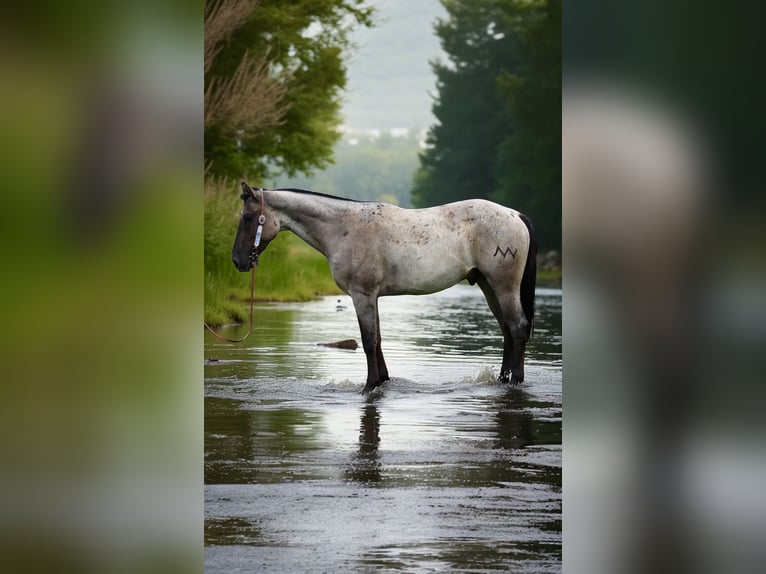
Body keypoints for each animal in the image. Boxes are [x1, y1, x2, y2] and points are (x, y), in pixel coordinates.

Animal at [231, 182, 537, 394]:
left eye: (247, 217)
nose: (237, 261)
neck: (343, 228)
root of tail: (515, 215)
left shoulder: (362, 295)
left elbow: (368, 341)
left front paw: (369, 386)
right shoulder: (372, 297)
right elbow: (377, 339)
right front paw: (382, 381)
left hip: (503, 287)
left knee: (518, 328)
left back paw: (516, 381)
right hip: (488, 286)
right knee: (507, 330)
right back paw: (502, 380)